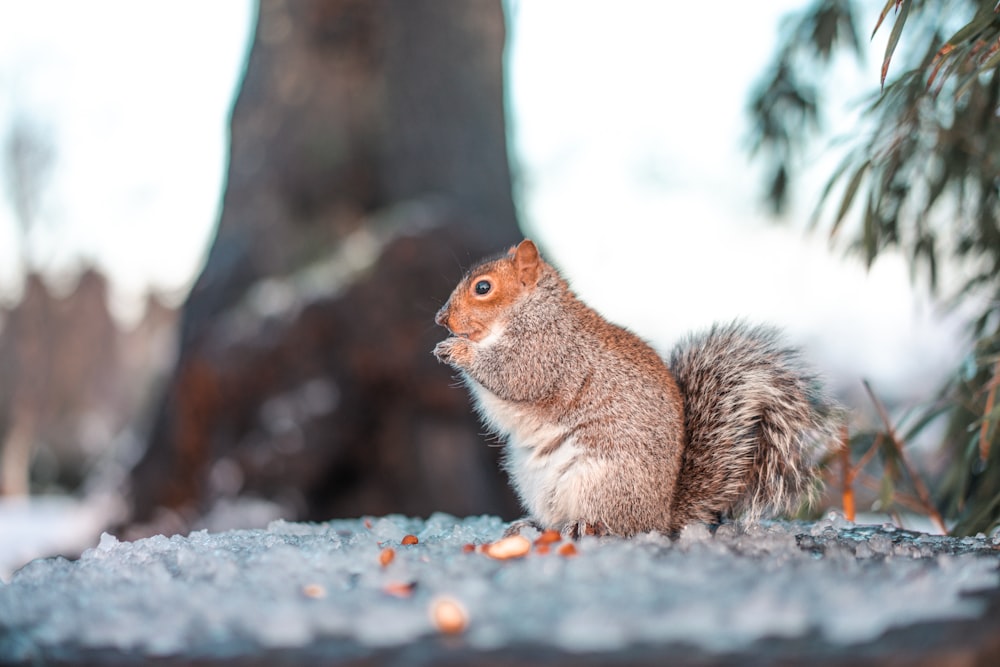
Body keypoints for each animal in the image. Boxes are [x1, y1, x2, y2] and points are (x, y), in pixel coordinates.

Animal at [434, 240, 840, 536]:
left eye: (483, 288)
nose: (441, 318)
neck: (532, 311)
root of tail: (660, 517)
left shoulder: (549, 353)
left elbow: (513, 375)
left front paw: (458, 350)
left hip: (599, 480)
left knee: (618, 525)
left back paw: (586, 525)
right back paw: (532, 524)